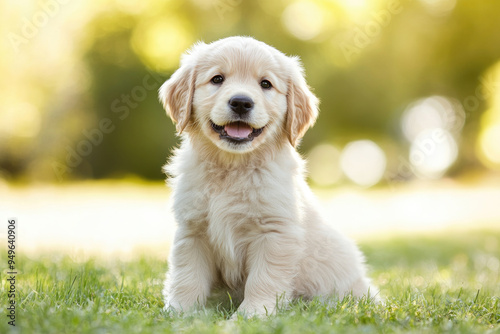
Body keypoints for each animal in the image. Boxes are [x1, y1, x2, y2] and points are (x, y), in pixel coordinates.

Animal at [159, 36, 376, 316]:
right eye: (217, 79)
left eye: (265, 84)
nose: (241, 102)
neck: (232, 168)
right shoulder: (192, 231)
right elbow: (187, 276)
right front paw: (179, 312)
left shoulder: (274, 233)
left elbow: (263, 279)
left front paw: (252, 314)